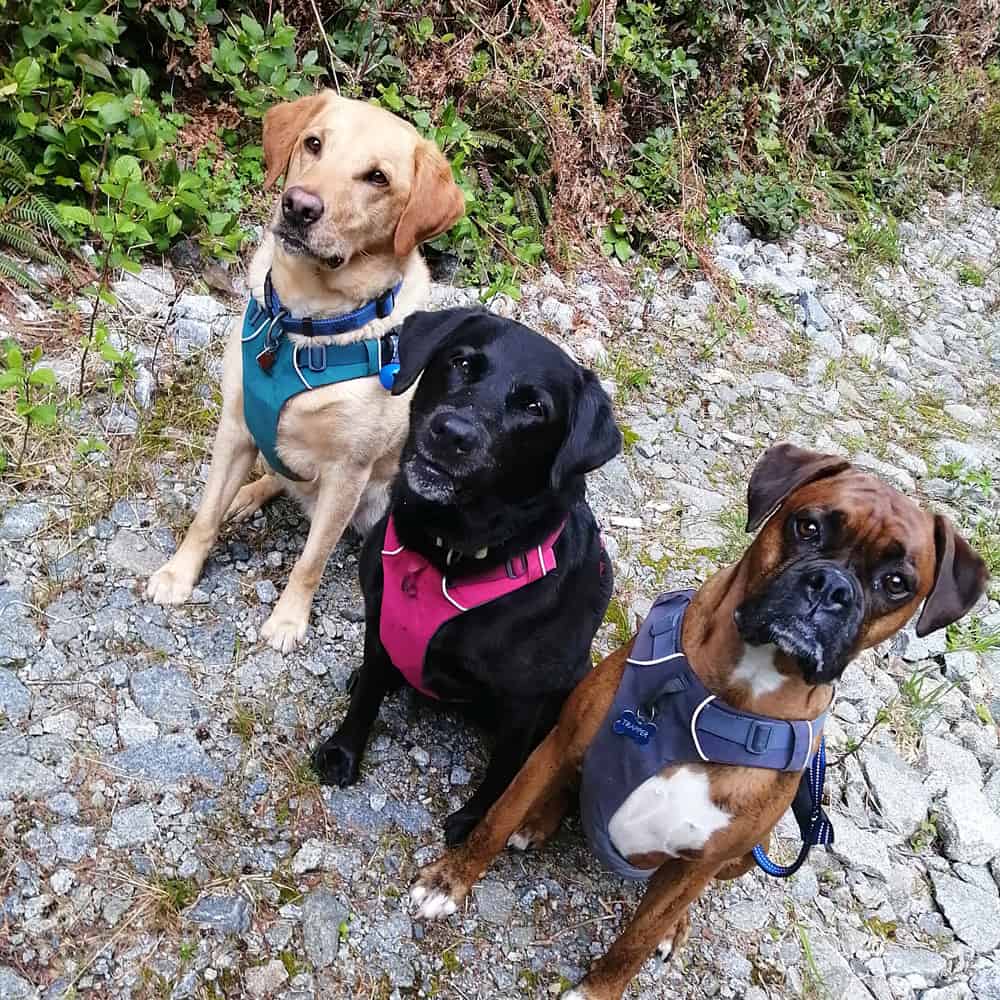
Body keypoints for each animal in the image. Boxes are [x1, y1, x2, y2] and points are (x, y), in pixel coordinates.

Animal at [406, 446, 984, 1000]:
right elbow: (493, 822)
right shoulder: (557, 746)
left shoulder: (700, 865)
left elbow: (636, 940)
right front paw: (447, 882)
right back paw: (536, 822)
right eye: (808, 527)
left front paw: (601, 987)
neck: (720, 703)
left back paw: (672, 928)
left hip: (750, 855)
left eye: (897, 583)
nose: (831, 587)